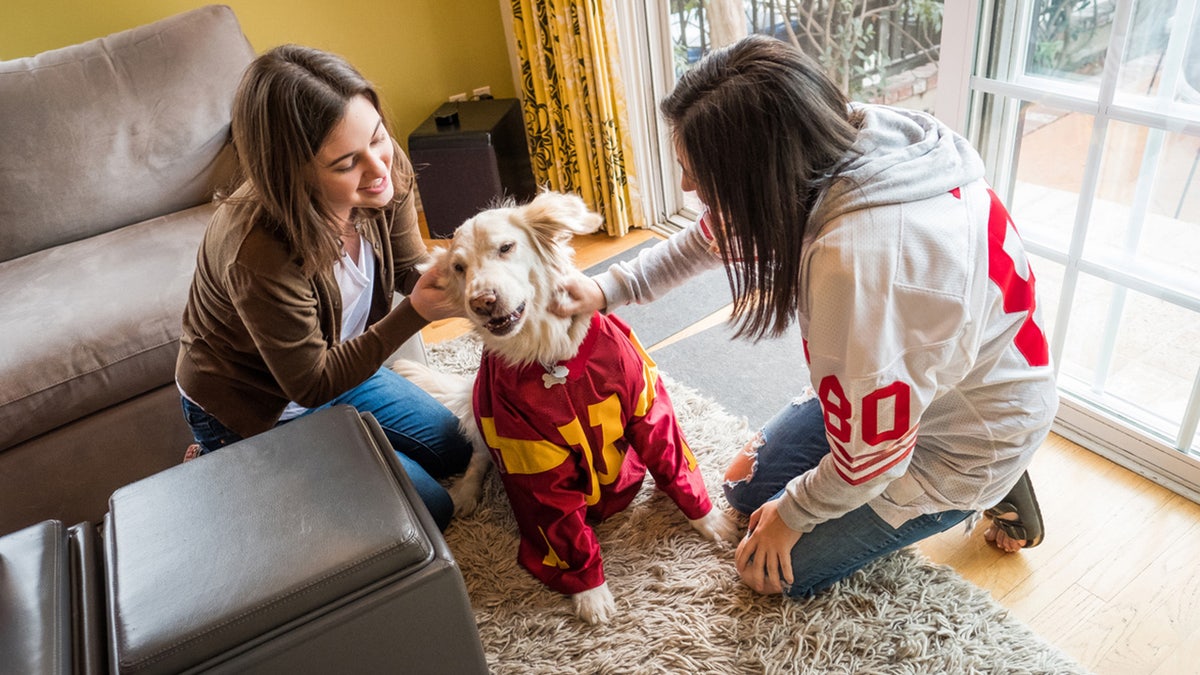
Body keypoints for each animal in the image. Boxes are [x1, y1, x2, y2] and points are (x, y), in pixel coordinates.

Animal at [393, 187, 734, 619]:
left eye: (506, 247)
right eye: (458, 268)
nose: (482, 301)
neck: (550, 359)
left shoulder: (645, 404)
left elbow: (673, 461)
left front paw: (709, 520)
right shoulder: (528, 453)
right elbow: (558, 524)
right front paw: (591, 591)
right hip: (481, 409)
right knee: (478, 456)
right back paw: (466, 494)